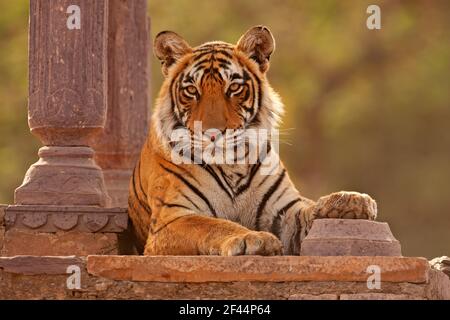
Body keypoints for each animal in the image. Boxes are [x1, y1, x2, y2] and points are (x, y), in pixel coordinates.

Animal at [128, 24, 378, 255]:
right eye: (191, 90)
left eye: (234, 87)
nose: (212, 134)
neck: (232, 165)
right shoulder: (172, 218)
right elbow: (214, 225)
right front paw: (253, 238)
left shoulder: (284, 211)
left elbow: (308, 211)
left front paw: (351, 200)